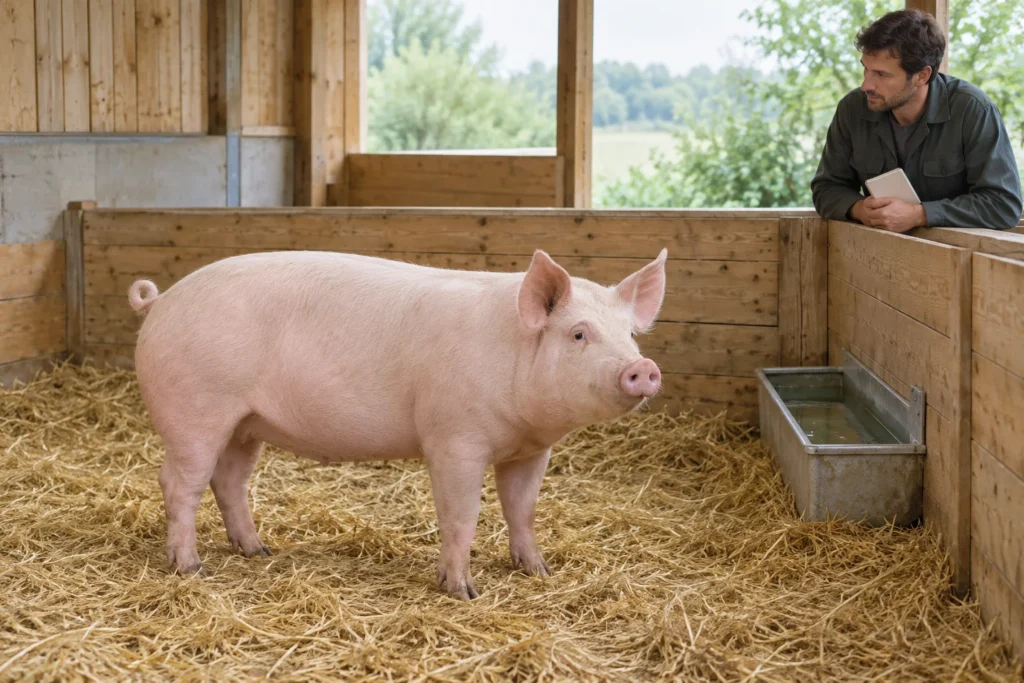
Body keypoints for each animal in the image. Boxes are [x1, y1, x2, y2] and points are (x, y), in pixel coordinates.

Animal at [127, 247, 667, 600]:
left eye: (630, 334)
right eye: (578, 333)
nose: (641, 367)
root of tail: (161, 301)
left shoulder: (532, 450)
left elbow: (523, 511)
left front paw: (540, 572)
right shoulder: (454, 439)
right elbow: (461, 516)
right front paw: (463, 592)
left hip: (245, 423)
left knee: (229, 481)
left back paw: (259, 551)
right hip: (195, 408)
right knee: (179, 482)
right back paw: (191, 568)